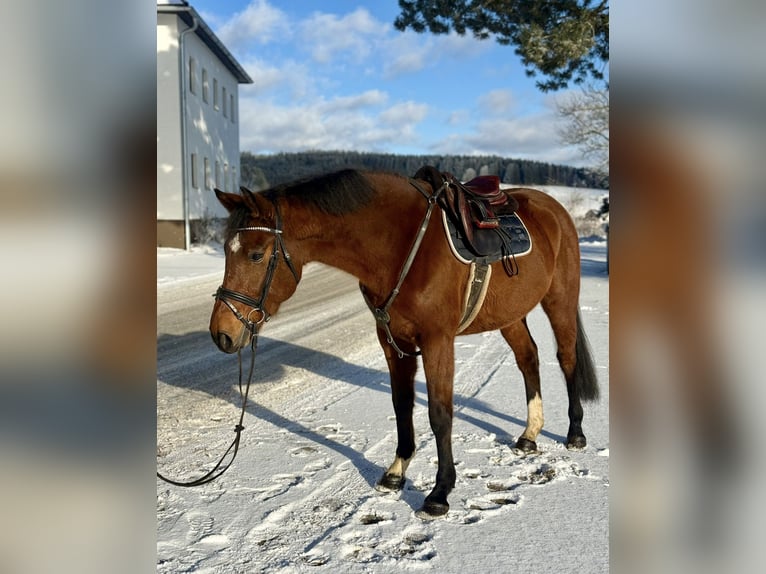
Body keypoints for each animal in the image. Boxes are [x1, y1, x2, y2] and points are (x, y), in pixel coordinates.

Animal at [209, 167, 599, 517]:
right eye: (226, 250)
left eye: (256, 254)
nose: (221, 333)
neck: (400, 245)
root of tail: (555, 210)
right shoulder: (392, 340)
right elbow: (402, 405)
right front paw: (397, 472)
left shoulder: (438, 340)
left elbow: (439, 413)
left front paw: (440, 493)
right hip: (510, 315)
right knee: (527, 357)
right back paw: (530, 434)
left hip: (560, 301)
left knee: (566, 358)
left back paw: (576, 433)